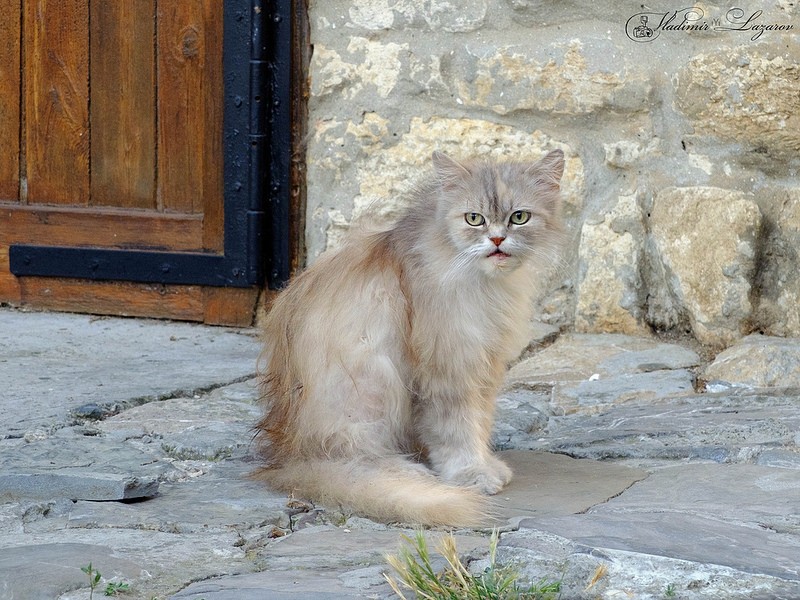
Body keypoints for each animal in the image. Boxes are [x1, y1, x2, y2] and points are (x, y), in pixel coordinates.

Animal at [255, 150, 564, 524]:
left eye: (519, 217)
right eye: (474, 219)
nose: (497, 240)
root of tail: (287, 457)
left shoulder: (484, 363)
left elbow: (480, 422)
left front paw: (486, 464)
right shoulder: (448, 365)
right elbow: (457, 430)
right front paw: (472, 474)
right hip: (374, 383)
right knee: (357, 459)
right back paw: (411, 475)